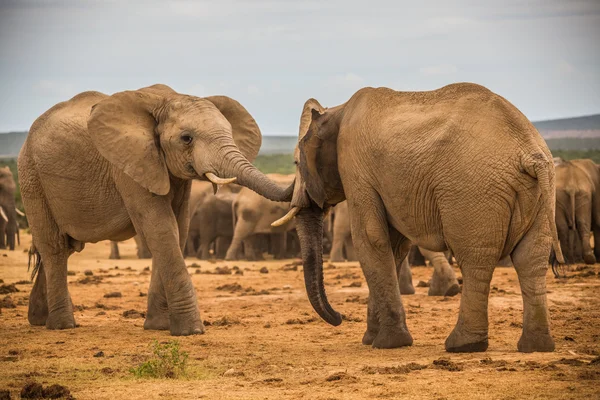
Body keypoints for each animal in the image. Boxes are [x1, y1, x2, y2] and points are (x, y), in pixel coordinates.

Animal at [18, 82, 290, 334]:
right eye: (186, 138)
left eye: (229, 133)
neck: (166, 100)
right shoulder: (129, 164)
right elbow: (160, 226)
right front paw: (190, 331)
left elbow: (177, 227)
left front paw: (158, 326)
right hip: (32, 177)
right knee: (54, 246)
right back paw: (62, 325)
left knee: (66, 247)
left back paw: (38, 320)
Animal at [274, 83, 564, 354]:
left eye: (296, 163)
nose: (339, 318)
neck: (338, 110)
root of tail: (530, 152)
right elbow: (394, 246)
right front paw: (372, 339)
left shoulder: (355, 167)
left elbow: (371, 239)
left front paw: (388, 343)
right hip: (540, 193)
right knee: (531, 259)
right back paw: (535, 346)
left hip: (473, 190)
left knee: (476, 259)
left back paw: (463, 345)